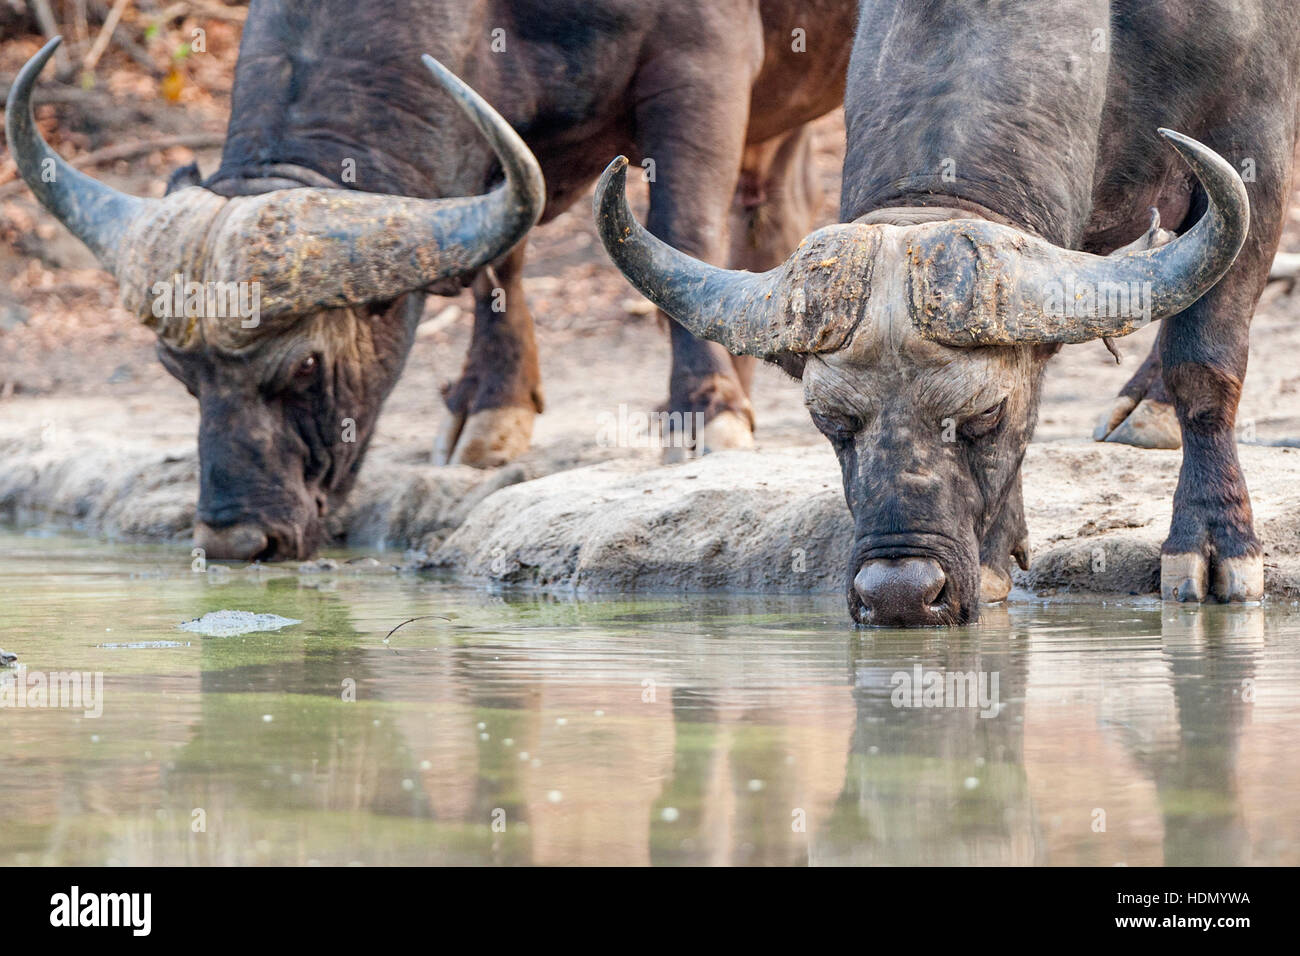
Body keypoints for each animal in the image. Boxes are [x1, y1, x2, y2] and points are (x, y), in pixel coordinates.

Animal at [12, 1, 863, 561]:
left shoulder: (701, 65)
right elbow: (499, 259)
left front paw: (704, 412)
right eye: (178, 375)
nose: (235, 539)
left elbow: (680, 222)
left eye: (307, 367)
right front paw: (491, 408)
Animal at [598, 0, 1300, 624]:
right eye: (830, 423)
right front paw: (993, 559)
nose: (900, 595)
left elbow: (1203, 364)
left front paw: (1214, 544)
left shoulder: (1254, 149)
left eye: (985, 415)